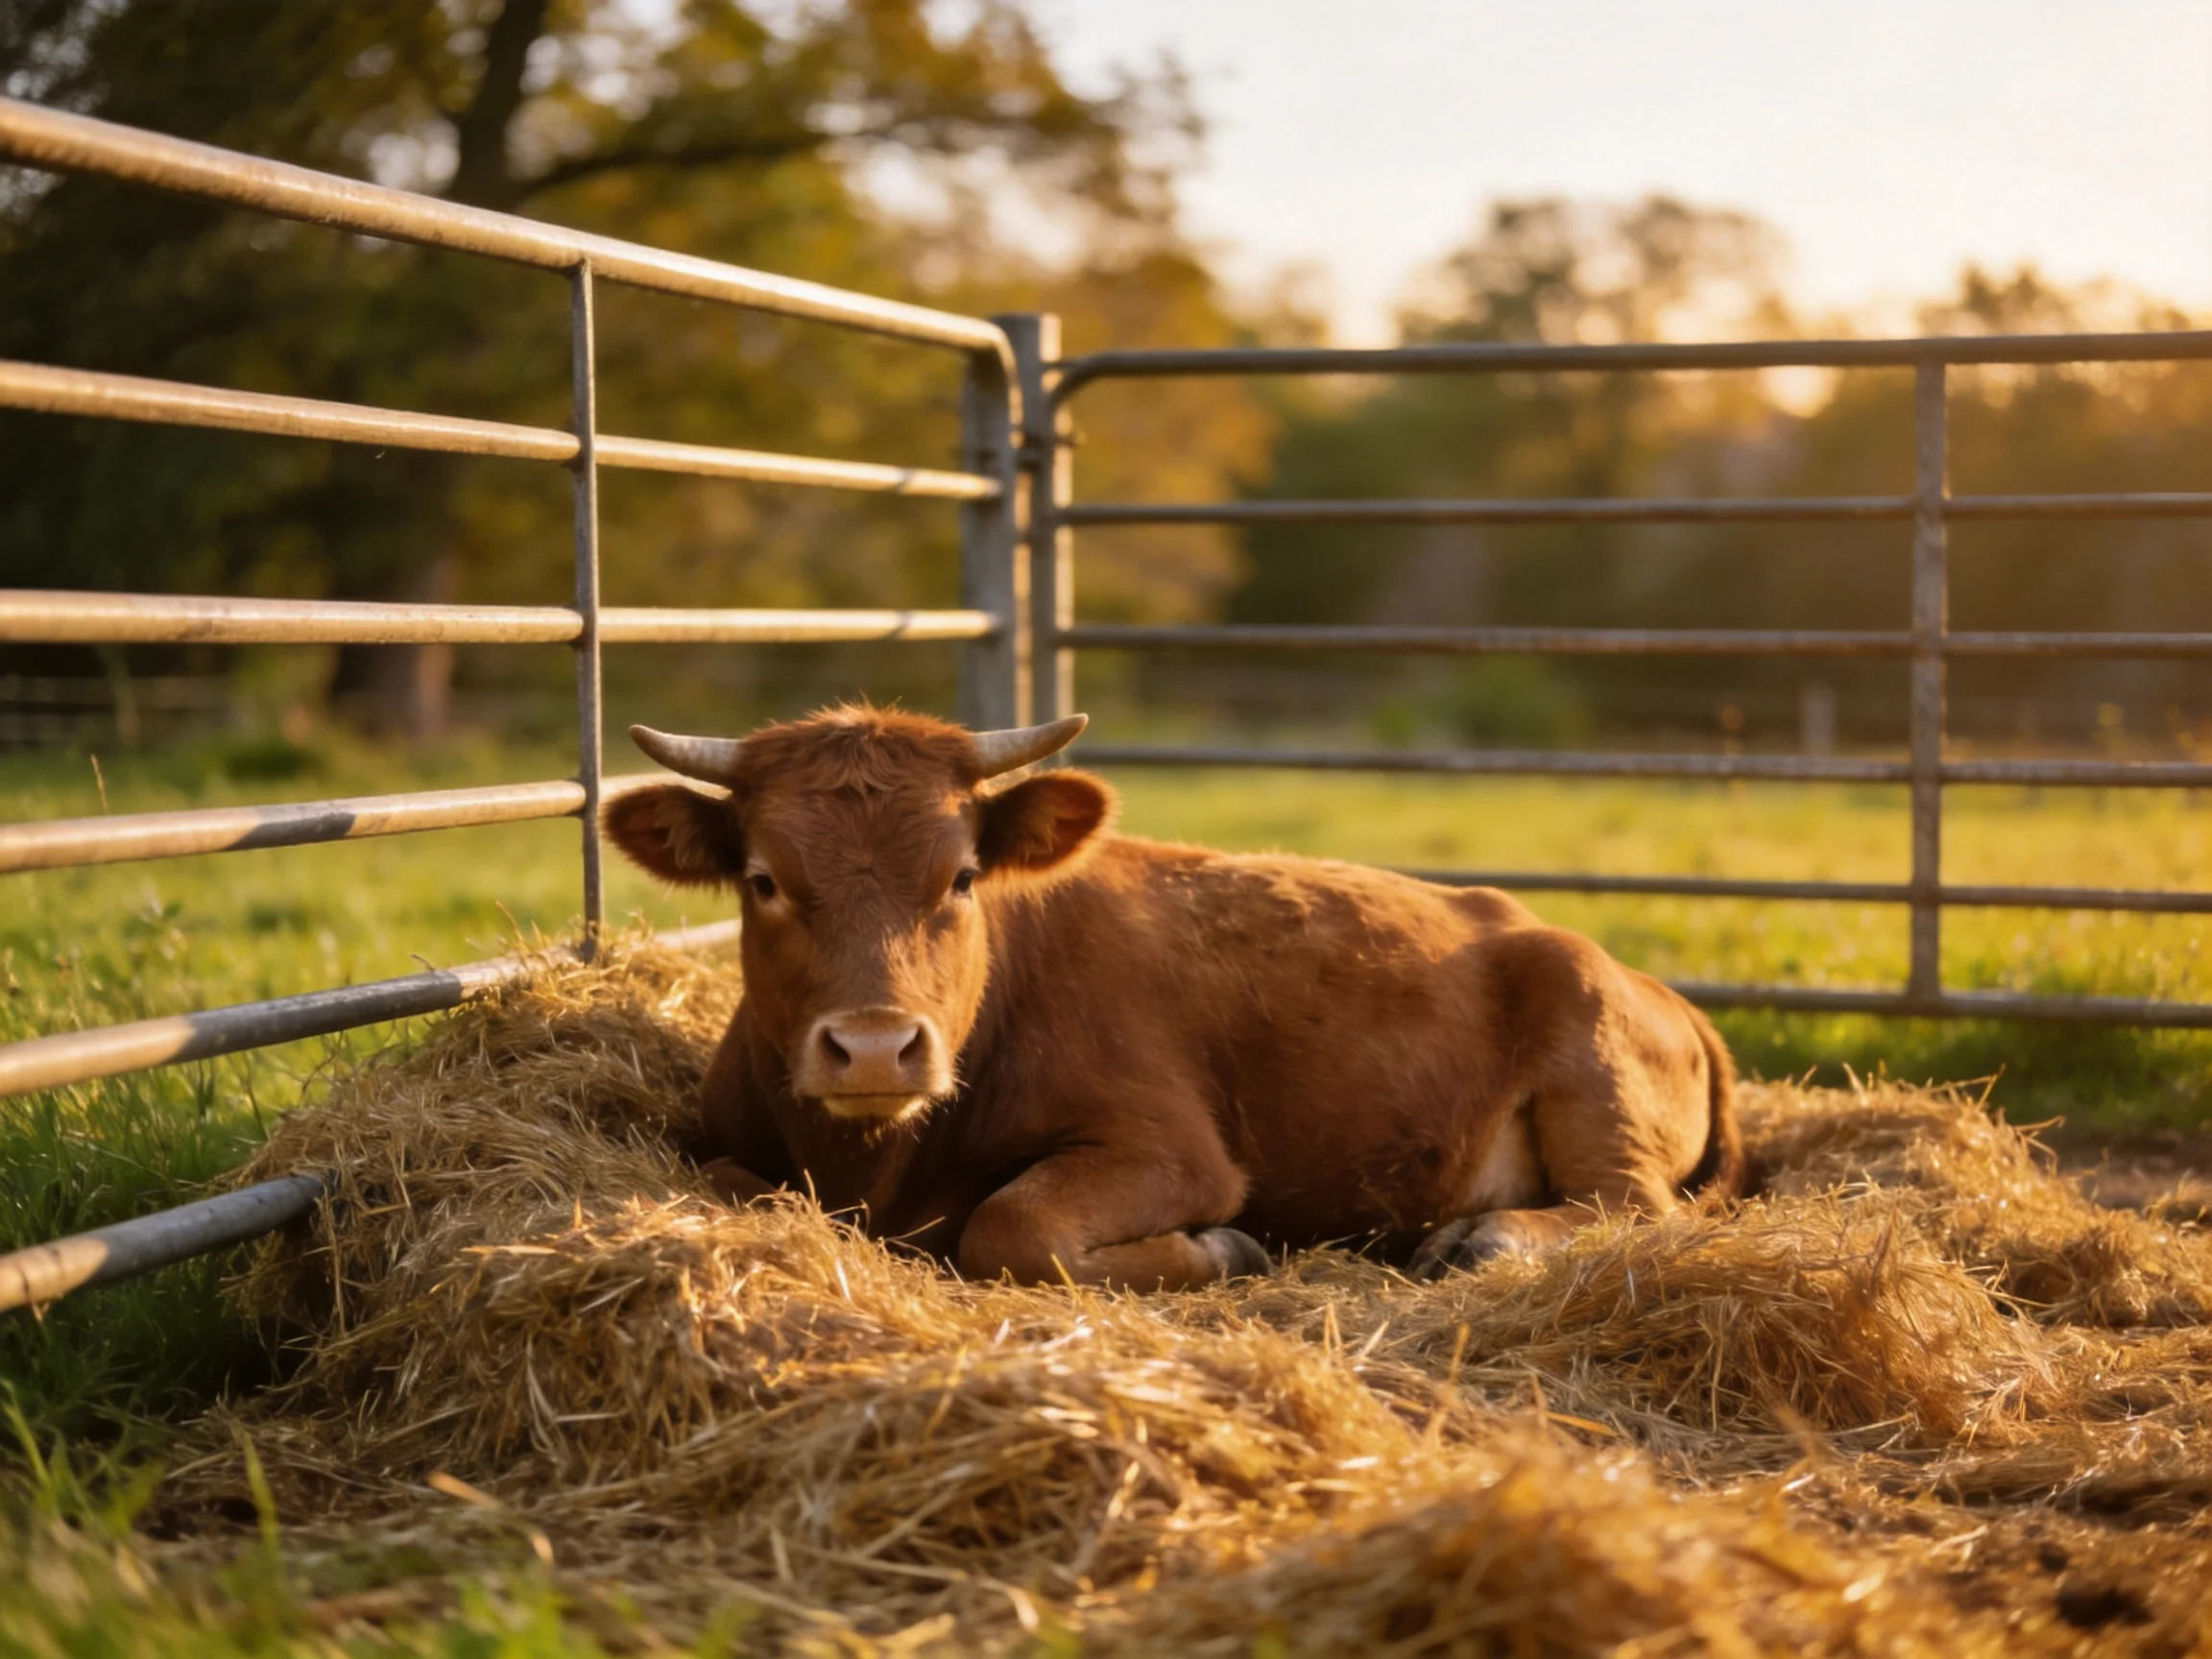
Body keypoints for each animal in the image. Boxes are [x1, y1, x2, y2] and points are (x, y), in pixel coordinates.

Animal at [604, 705, 1742, 1290]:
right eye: (763, 880)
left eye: (962, 878)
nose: (878, 1048)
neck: (877, 1161)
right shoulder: (724, 1143)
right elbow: (729, 1183)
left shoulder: (1173, 1150)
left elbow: (1013, 1229)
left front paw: (1226, 1246)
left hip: (1592, 1065)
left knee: (1628, 1208)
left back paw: (1487, 1237)